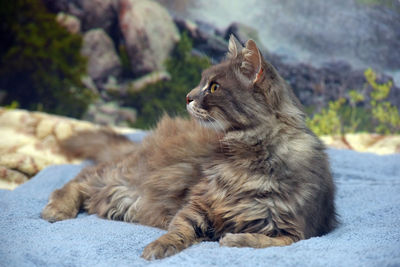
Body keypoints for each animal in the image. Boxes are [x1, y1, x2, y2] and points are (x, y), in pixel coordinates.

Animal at [41, 36, 338, 262]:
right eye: (201, 83)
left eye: (214, 87)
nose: (187, 97)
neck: (247, 159)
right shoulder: (198, 203)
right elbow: (178, 229)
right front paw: (158, 247)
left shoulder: (298, 229)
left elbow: (267, 241)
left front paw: (233, 239)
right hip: (125, 177)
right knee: (81, 178)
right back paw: (56, 210)